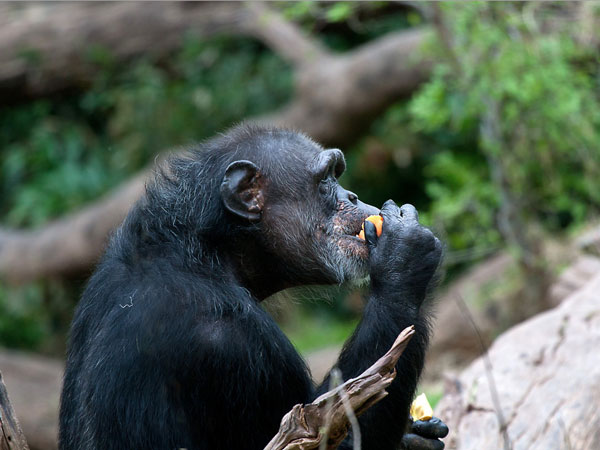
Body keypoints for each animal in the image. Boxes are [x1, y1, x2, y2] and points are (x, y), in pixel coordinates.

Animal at [58, 125, 448, 450]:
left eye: (337, 175)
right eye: (325, 180)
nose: (352, 196)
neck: (211, 251)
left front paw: (417, 437)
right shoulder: (232, 341)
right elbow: (334, 432)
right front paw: (404, 256)